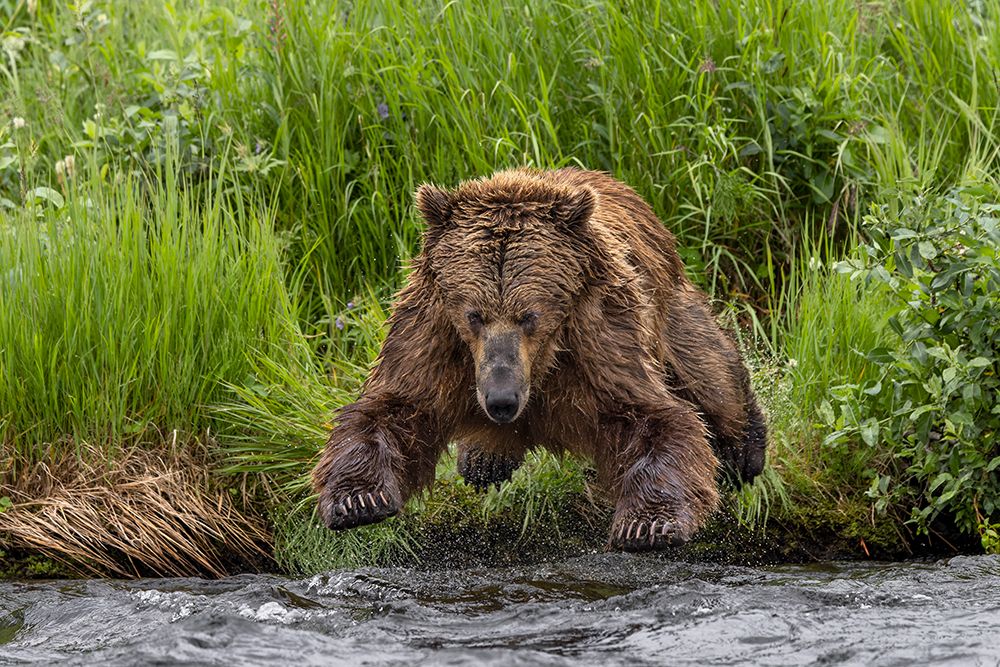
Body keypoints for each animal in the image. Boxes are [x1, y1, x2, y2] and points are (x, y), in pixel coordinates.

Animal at [312, 167, 767, 550]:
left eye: (529, 315)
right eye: (474, 314)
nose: (501, 400)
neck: (540, 364)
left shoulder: (599, 335)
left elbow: (653, 416)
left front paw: (648, 523)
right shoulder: (434, 336)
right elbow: (393, 409)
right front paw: (357, 500)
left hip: (667, 309)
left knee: (710, 375)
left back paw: (746, 450)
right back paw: (483, 461)